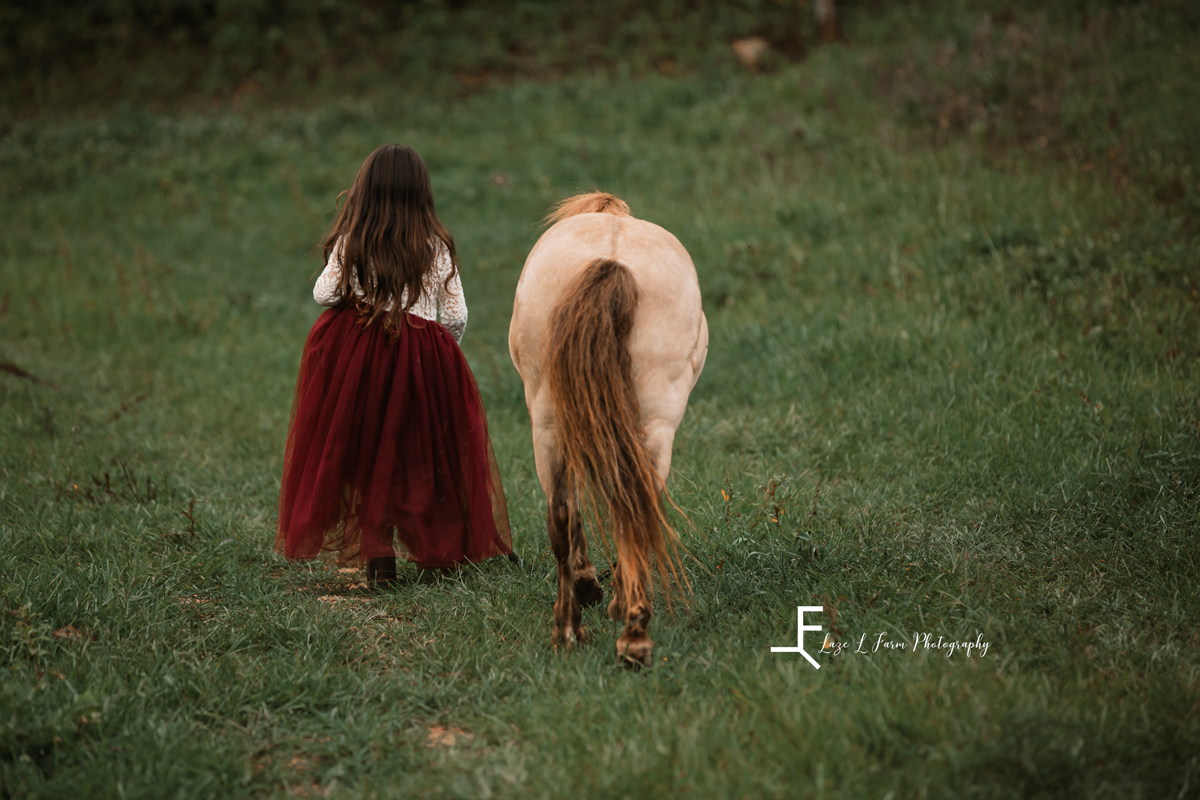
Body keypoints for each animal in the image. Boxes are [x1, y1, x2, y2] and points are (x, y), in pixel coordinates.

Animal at [504, 190, 700, 666]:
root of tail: (611, 259)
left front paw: (592, 587)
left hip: (550, 423)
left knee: (563, 513)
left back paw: (570, 630)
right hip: (655, 425)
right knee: (635, 508)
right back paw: (630, 632)